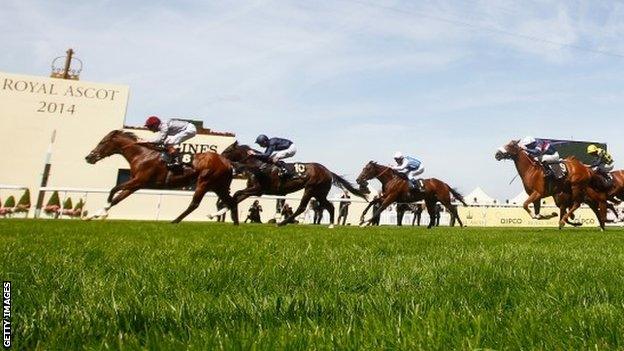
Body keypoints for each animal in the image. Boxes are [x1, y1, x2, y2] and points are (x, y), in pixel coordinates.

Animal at [84, 131, 238, 224]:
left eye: (102, 142)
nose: (89, 157)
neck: (142, 154)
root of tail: (227, 162)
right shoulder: (136, 185)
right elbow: (117, 199)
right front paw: (94, 215)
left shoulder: (139, 181)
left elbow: (113, 189)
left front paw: (101, 211)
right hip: (219, 186)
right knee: (231, 201)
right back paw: (235, 224)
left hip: (205, 182)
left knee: (195, 204)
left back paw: (174, 221)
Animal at [214, 141, 366, 227]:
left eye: (228, 150)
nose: (218, 157)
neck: (257, 165)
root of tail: (328, 171)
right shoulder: (252, 189)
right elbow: (237, 197)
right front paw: (215, 214)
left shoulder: (258, 189)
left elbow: (236, 194)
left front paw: (231, 216)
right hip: (319, 193)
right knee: (330, 206)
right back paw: (331, 225)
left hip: (310, 189)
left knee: (302, 207)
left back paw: (282, 223)